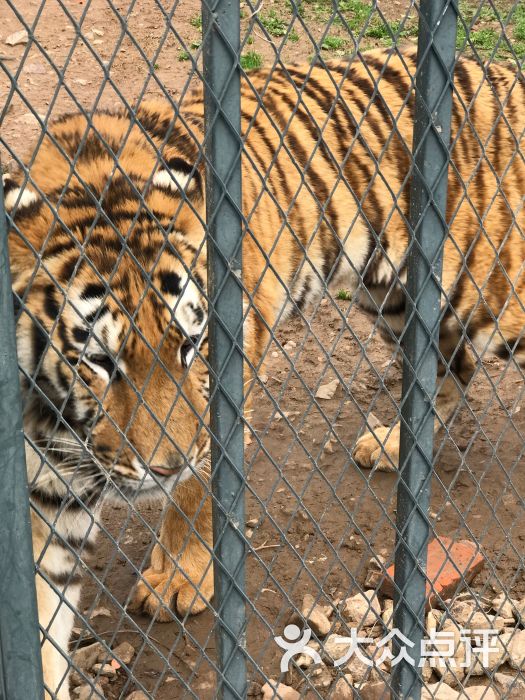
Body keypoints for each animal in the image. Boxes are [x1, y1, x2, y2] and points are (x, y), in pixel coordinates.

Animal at [5, 46, 524, 696]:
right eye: (99, 362)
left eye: (190, 346)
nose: (161, 466)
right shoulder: (44, 478)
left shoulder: (224, 389)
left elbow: (197, 494)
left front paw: (179, 580)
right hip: (396, 299)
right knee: (448, 370)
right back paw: (389, 444)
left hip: (490, 297)